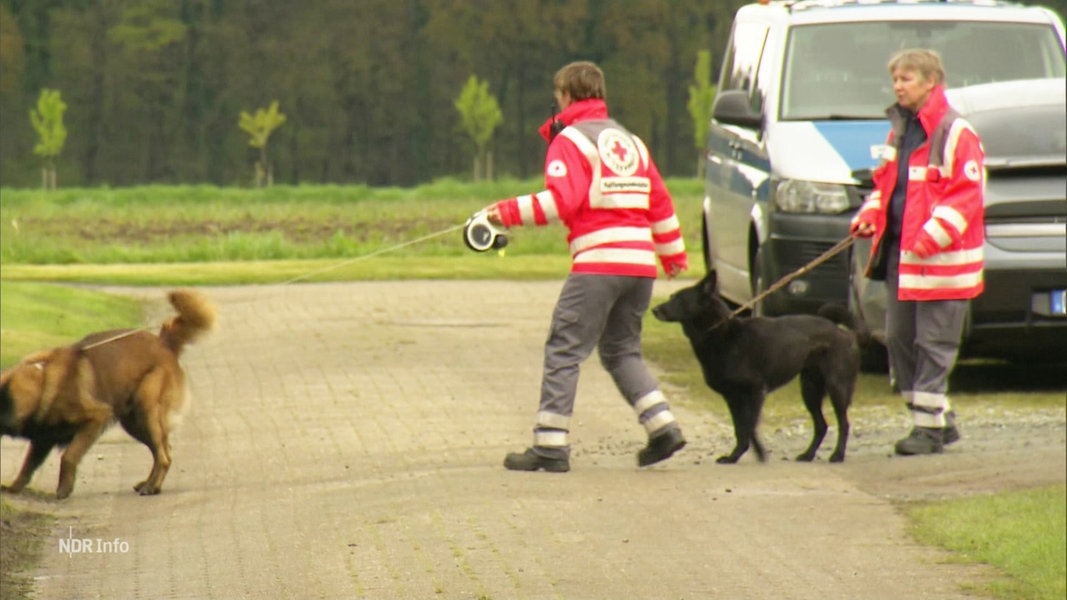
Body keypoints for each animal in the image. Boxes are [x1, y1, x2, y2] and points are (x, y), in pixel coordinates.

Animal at [1, 288, 214, 497]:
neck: (43, 382)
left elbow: (69, 455)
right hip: (135, 423)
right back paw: (151, 484)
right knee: (163, 451)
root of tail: (164, 343)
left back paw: (151, 487)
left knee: (163, 456)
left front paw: (64, 489)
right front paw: (14, 487)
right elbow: (27, 466)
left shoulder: (96, 418)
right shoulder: (43, 438)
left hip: (145, 411)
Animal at [648, 271, 866, 463]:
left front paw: (749, 454)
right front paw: (741, 455)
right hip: (810, 389)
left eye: (679, 299)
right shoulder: (732, 398)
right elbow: (741, 429)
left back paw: (837, 455)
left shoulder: (755, 392)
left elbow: (749, 427)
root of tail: (840, 330)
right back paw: (808, 454)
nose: (654, 310)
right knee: (822, 425)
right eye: (672, 297)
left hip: (837, 387)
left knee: (844, 424)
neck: (720, 331)